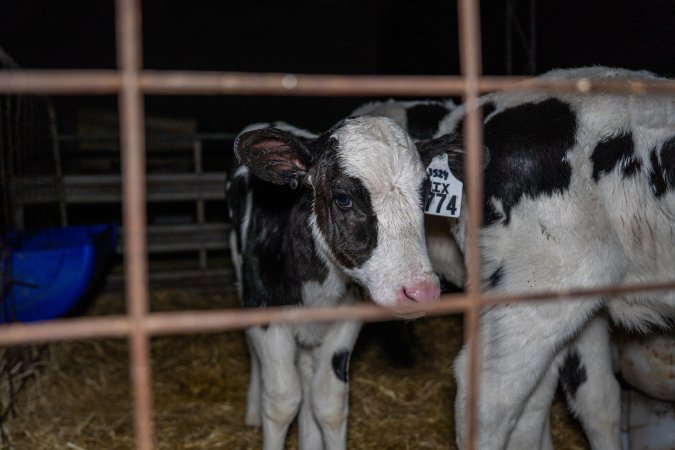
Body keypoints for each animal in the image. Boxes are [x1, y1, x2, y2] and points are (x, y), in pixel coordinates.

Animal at [226, 115, 442, 450]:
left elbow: (328, 401)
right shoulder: (264, 309)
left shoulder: (347, 316)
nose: (421, 292)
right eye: (343, 199)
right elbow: (282, 400)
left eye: (427, 194)